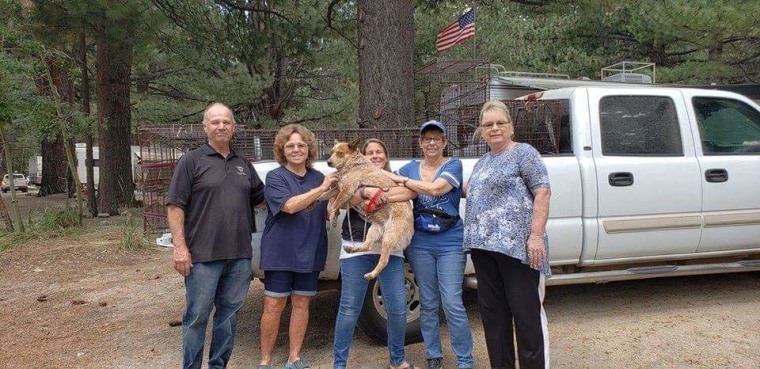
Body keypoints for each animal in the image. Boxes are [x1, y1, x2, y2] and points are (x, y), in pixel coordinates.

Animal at [316, 138, 412, 278]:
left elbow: (334, 204)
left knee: (384, 260)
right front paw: (313, 201)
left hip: (389, 236)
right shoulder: (338, 189)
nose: (328, 162)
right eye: (332, 152)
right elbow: (324, 195)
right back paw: (353, 249)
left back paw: (372, 274)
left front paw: (333, 216)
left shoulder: (347, 190)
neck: (353, 164)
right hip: (373, 230)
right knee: (367, 246)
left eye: (340, 153)